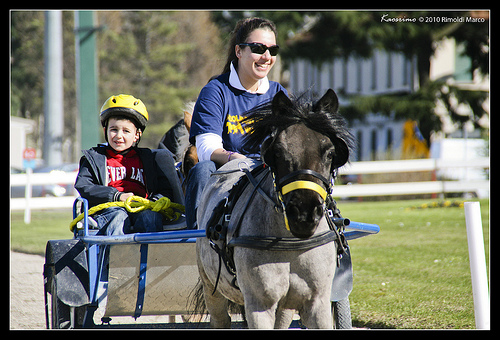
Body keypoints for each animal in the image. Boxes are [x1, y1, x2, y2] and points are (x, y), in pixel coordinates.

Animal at [194, 89, 356, 328]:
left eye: (329, 153)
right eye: (278, 152)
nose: (304, 213)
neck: (291, 245)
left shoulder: (317, 304)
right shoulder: (259, 305)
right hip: (211, 287)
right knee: (220, 317)